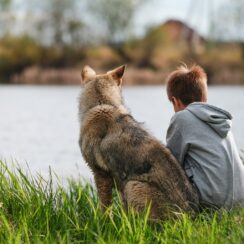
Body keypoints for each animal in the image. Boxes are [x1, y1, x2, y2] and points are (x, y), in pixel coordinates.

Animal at [78, 65, 198, 219]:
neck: (102, 103)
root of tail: (189, 216)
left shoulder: (101, 175)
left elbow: (104, 208)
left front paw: (103, 222)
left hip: (133, 185)